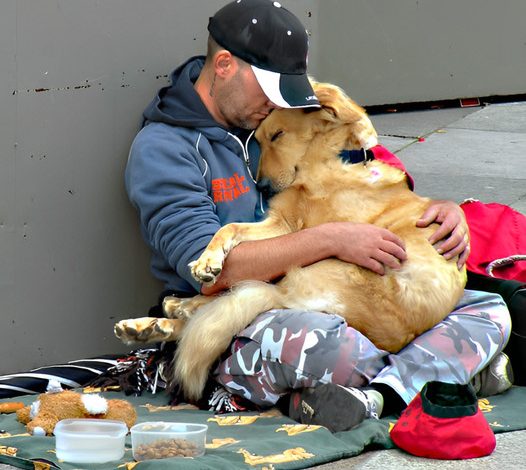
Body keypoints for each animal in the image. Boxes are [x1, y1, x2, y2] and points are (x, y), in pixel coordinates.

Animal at [114, 81, 466, 400]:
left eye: (277, 135)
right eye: (257, 138)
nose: (263, 187)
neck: (331, 158)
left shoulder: (296, 228)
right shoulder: (281, 223)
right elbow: (228, 229)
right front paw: (207, 260)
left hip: (312, 271)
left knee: (218, 310)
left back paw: (166, 315)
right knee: (214, 311)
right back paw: (151, 322)